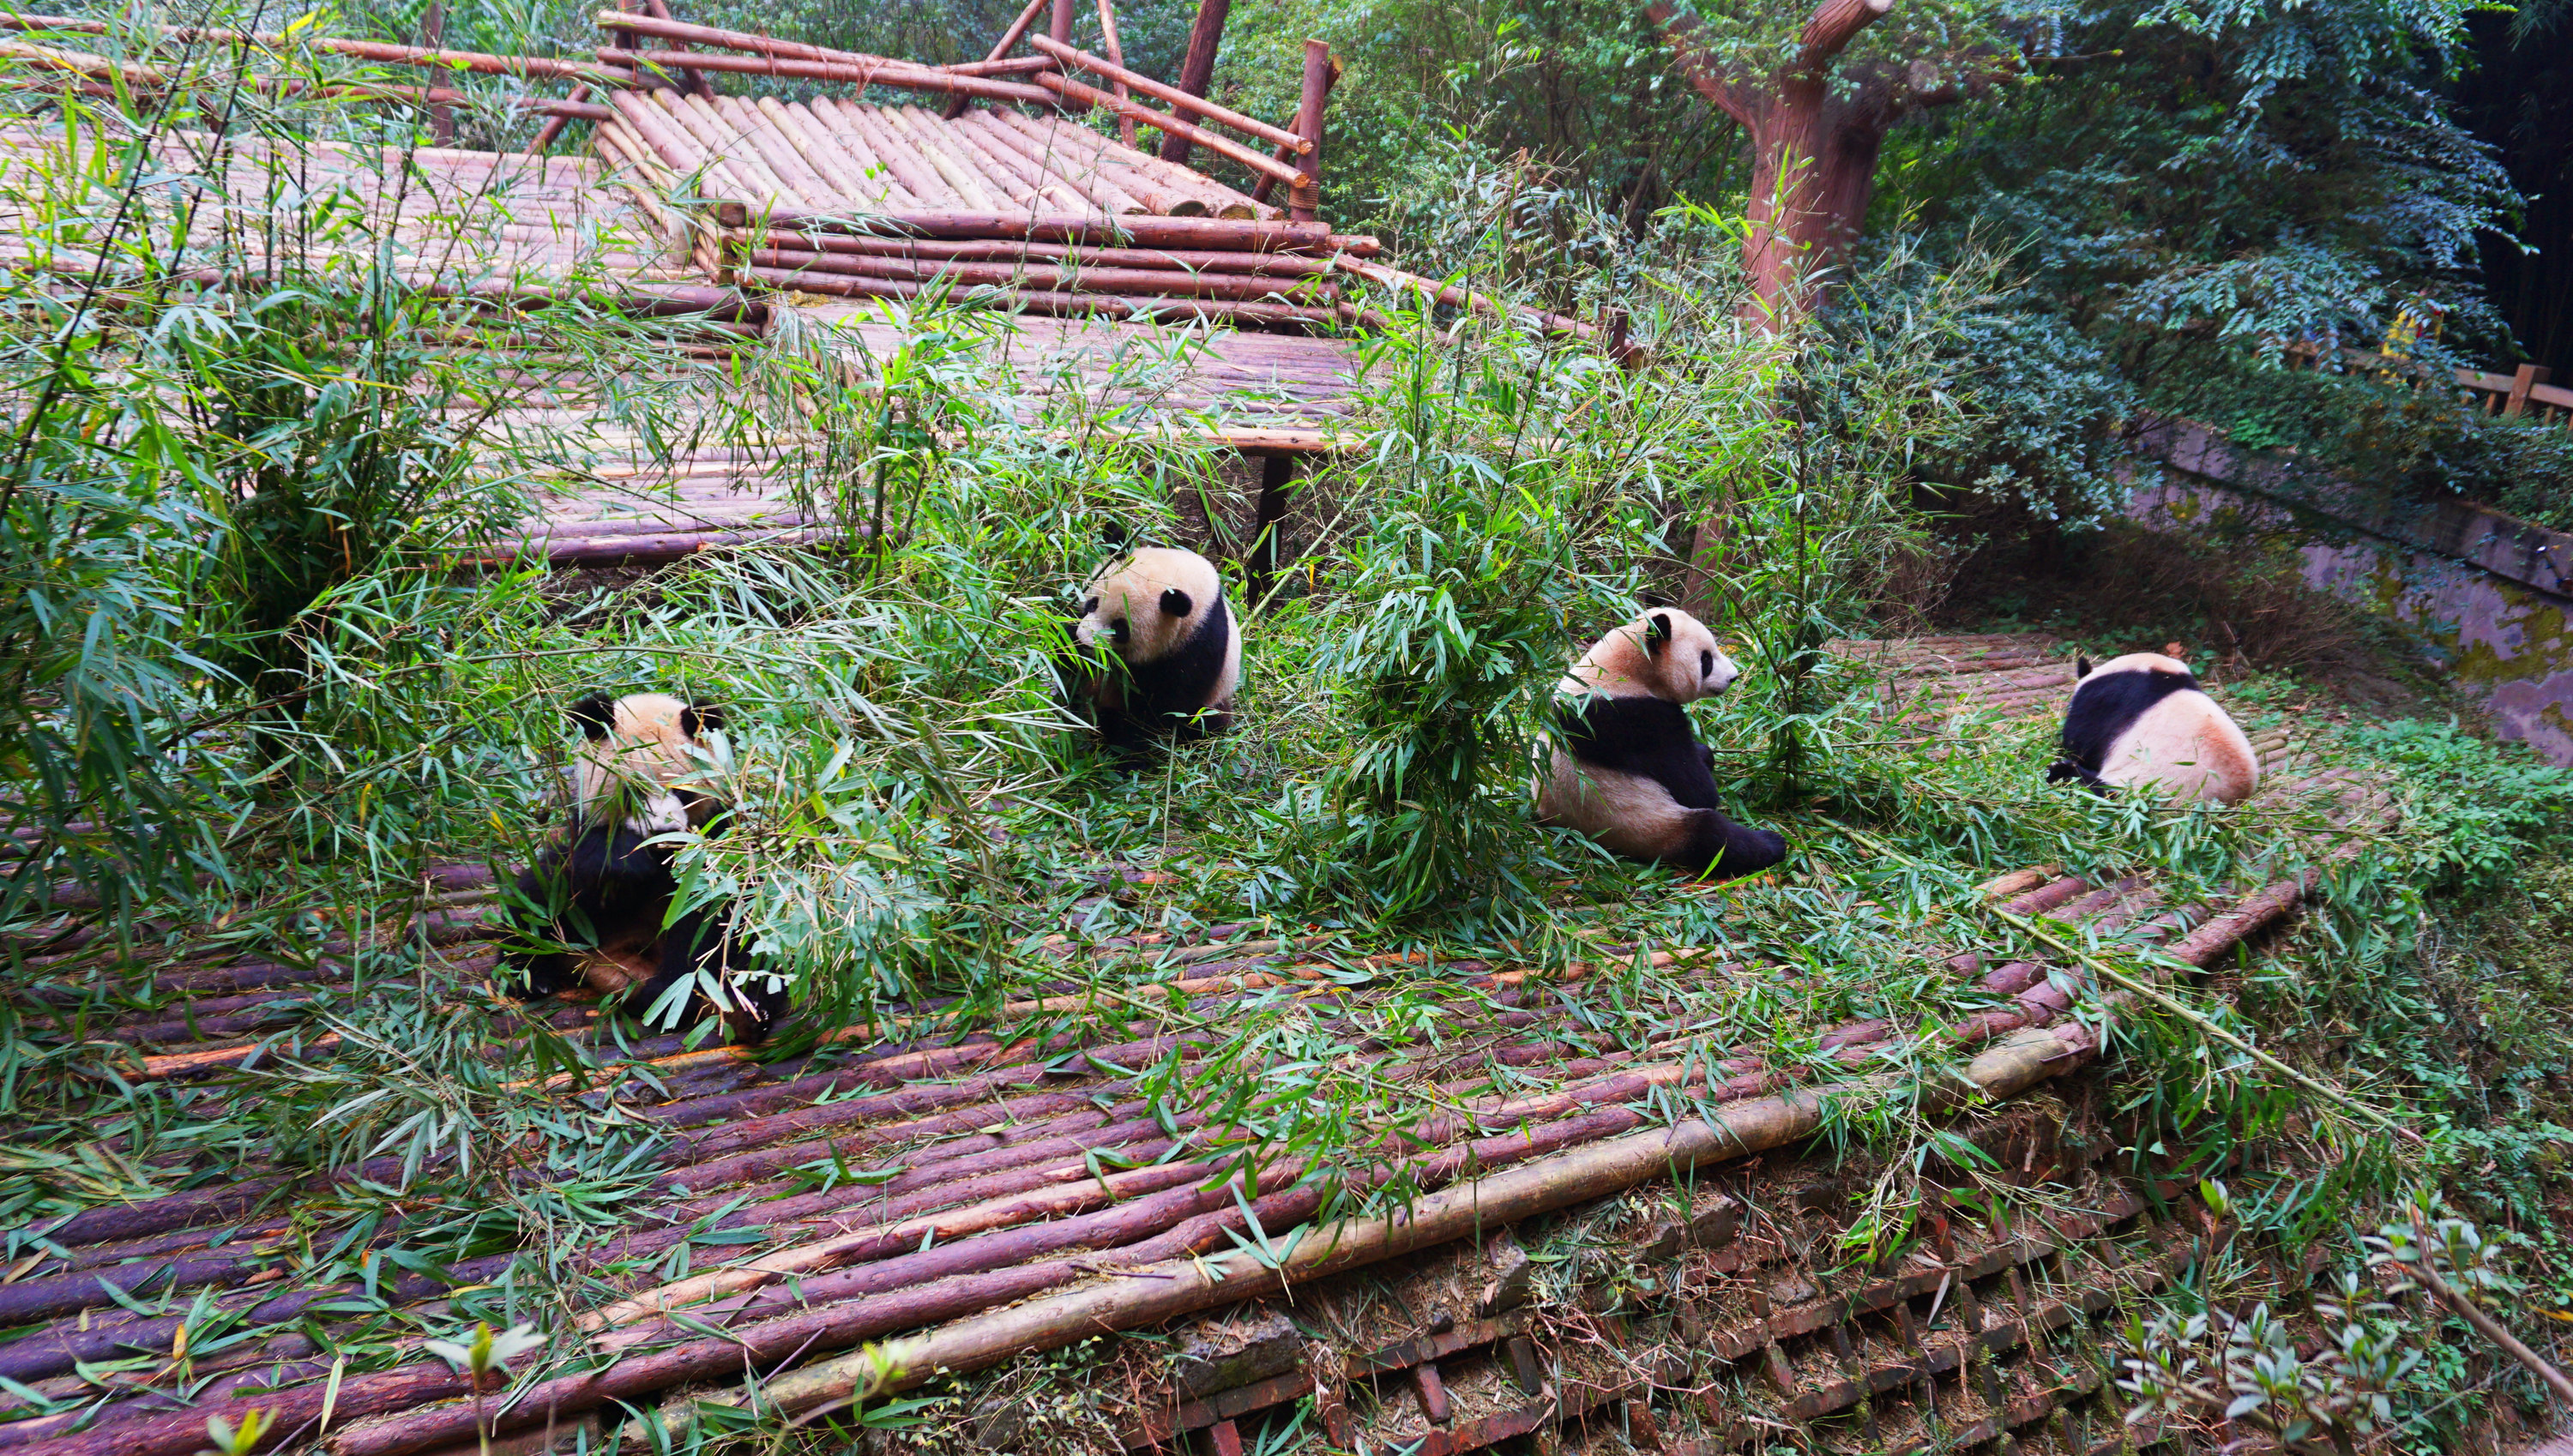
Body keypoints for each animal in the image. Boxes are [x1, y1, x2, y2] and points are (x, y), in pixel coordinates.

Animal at [497, 700, 787, 1050]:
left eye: (682, 791)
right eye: (632, 791)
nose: (664, 832)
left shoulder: (719, 839)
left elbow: (706, 918)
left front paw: (673, 994)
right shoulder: (584, 829)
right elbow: (586, 879)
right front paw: (628, 862)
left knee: (758, 949)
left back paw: (748, 1010)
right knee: (536, 901)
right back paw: (530, 975)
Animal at [1523, 610, 1791, 885]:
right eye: (1706, 659)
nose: (1733, 677)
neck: (1623, 671)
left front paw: (1705, 753)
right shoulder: (1638, 722)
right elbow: (1697, 789)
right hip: (1652, 826)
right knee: (1713, 836)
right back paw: (1773, 843)